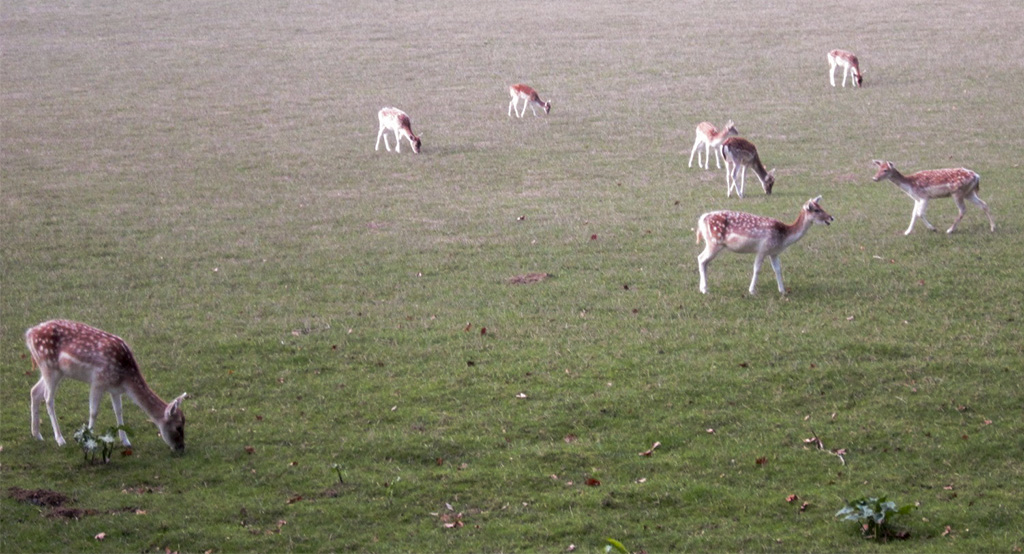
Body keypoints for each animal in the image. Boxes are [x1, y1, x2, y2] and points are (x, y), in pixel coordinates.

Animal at [25, 319, 189, 448]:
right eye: (178, 427)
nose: (181, 448)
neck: (125, 376)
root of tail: (29, 334)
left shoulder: (115, 389)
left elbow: (119, 411)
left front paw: (126, 441)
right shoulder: (98, 380)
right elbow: (93, 412)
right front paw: (88, 441)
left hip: (52, 370)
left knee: (34, 391)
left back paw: (36, 434)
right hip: (49, 367)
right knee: (48, 398)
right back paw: (59, 439)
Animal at [696, 196, 831, 294]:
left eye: (821, 206)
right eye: (817, 210)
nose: (831, 218)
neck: (784, 238)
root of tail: (702, 219)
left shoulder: (774, 252)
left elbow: (778, 269)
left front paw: (782, 291)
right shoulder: (763, 249)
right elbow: (756, 269)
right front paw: (752, 291)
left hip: (712, 243)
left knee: (703, 260)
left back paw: (703, 287)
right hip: (714, 242)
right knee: (701, 258)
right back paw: (704, 290)